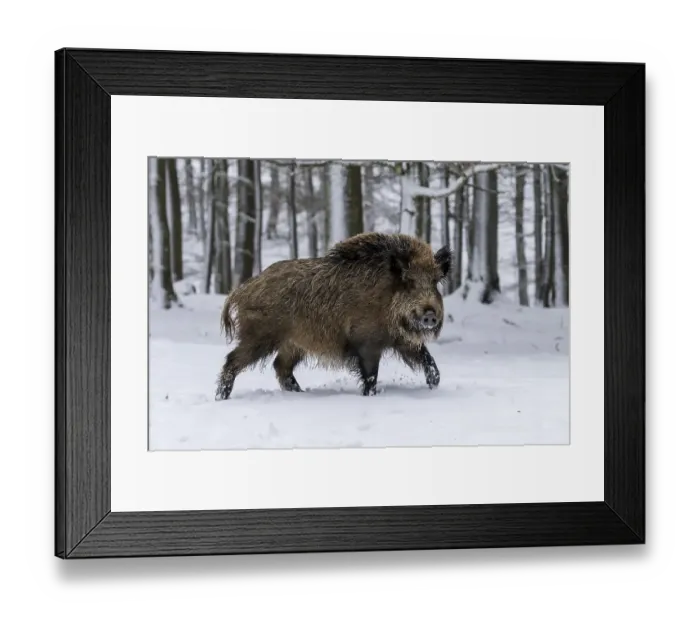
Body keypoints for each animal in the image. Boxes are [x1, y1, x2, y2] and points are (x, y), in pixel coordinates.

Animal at [215, 232, 452, 399]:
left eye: (435, 282)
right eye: (409, 282)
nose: (430, 314)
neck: (386, 298)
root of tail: (242, 289)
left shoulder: (402, 341)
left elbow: (429, 361)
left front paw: (434, 385)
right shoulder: (367, 343)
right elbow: (371, 376)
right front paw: (369, 396)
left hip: (293, 343)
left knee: (281, 367)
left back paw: (301, 394)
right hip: (260, 335)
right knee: (233, 360)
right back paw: (221, 397)